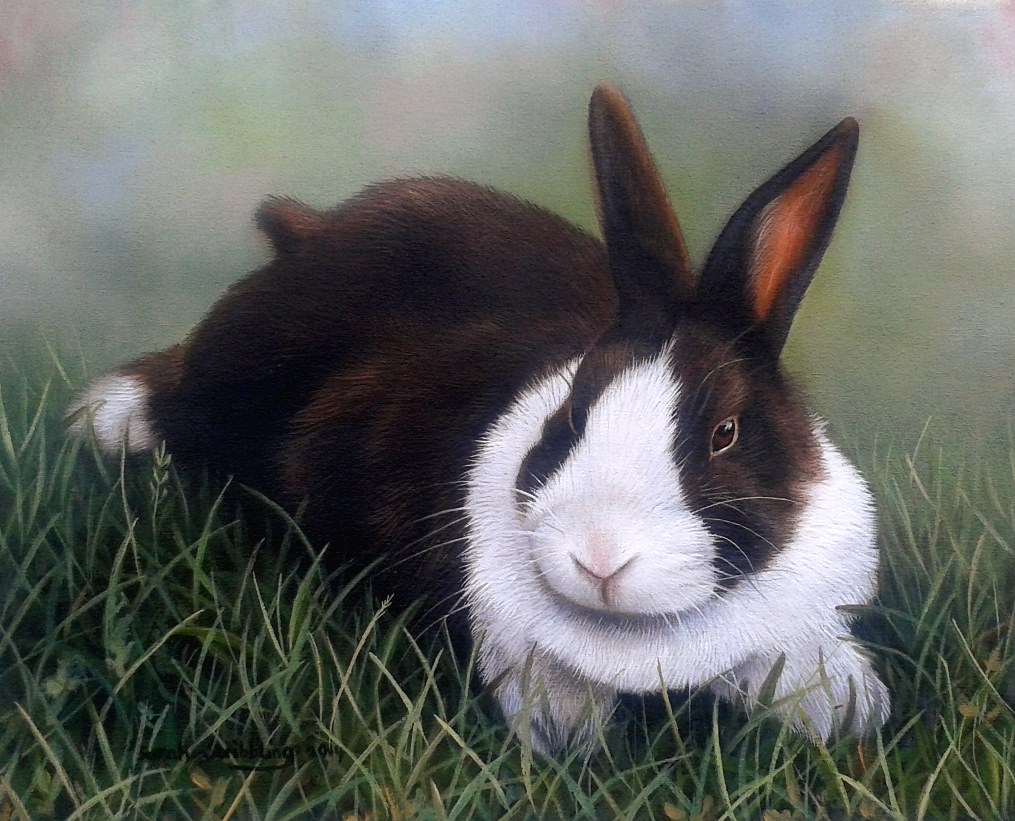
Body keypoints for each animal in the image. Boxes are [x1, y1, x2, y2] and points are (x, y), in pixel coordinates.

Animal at [68, 85, 890, 755]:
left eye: (724, 434)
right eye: (574, 411)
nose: (599, 557)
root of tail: (314, 229)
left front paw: (847, 709)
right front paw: (565, 734)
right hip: (247, 364)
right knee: (177, 393)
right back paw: (102, 416)